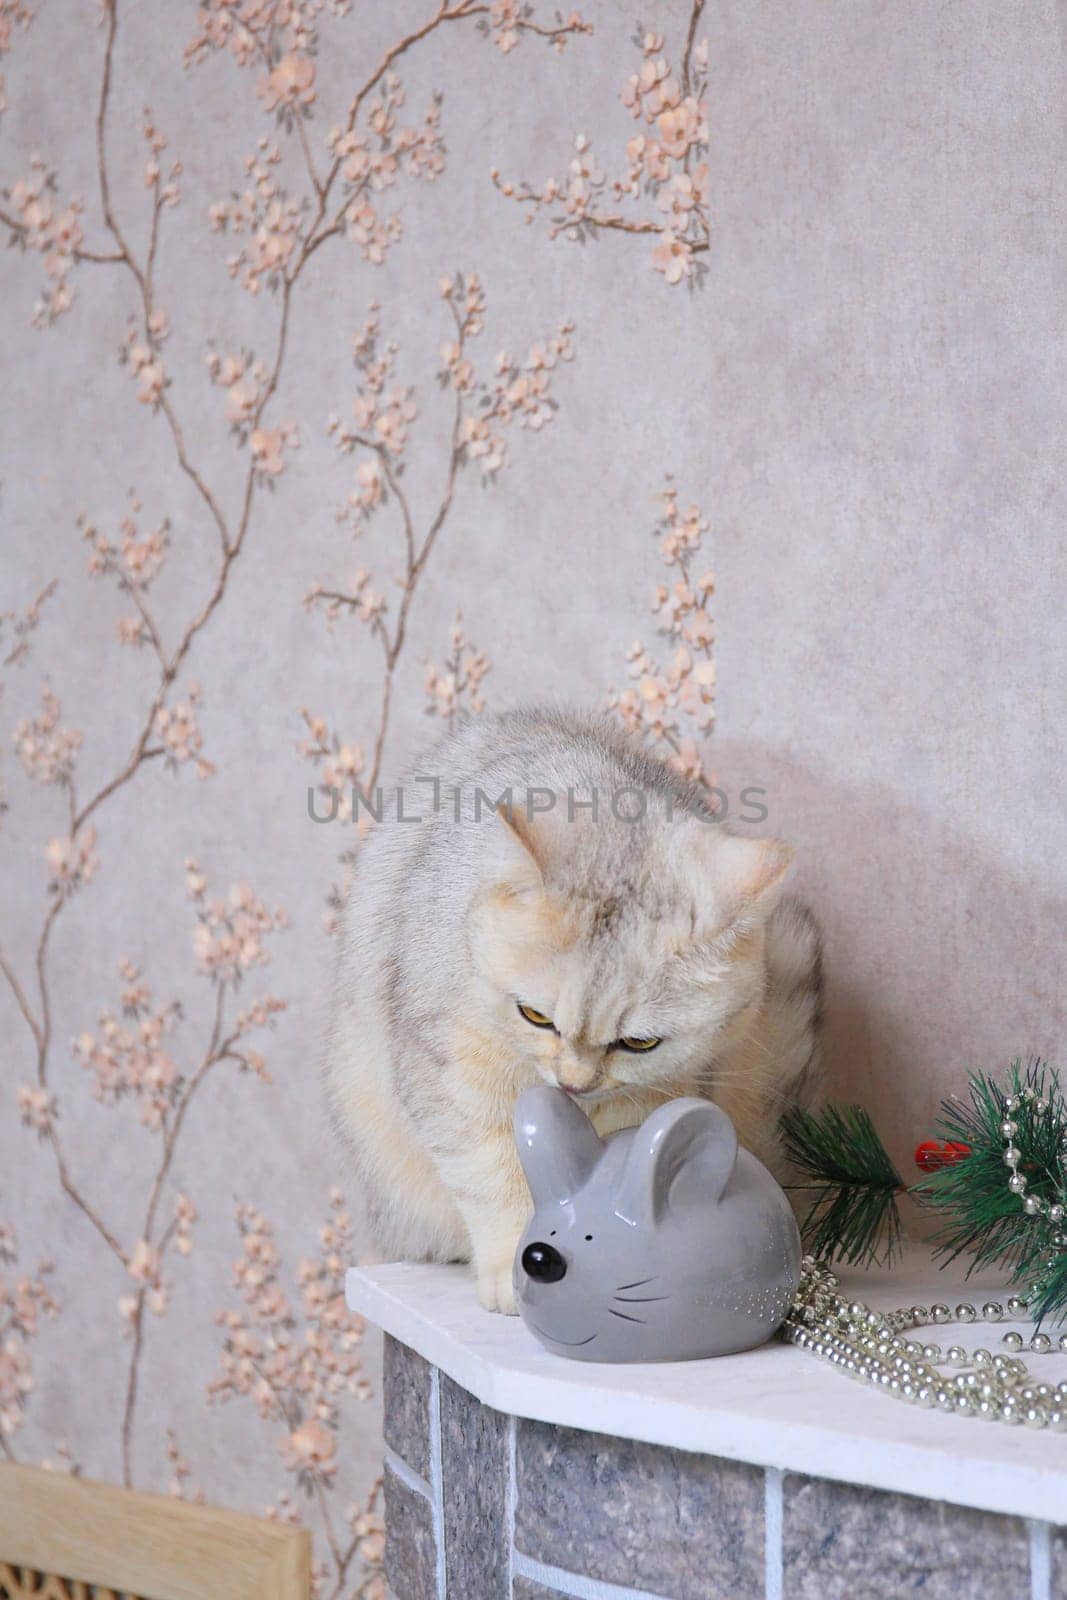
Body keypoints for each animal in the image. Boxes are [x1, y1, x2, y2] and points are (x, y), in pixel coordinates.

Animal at [321, 710, 825, 1312]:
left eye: (639, 1043)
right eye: (535, 1017)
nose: (574, 1083)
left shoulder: (657, 1093)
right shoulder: (452, 1072)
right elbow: (496, 1175)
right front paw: (516, 1268)